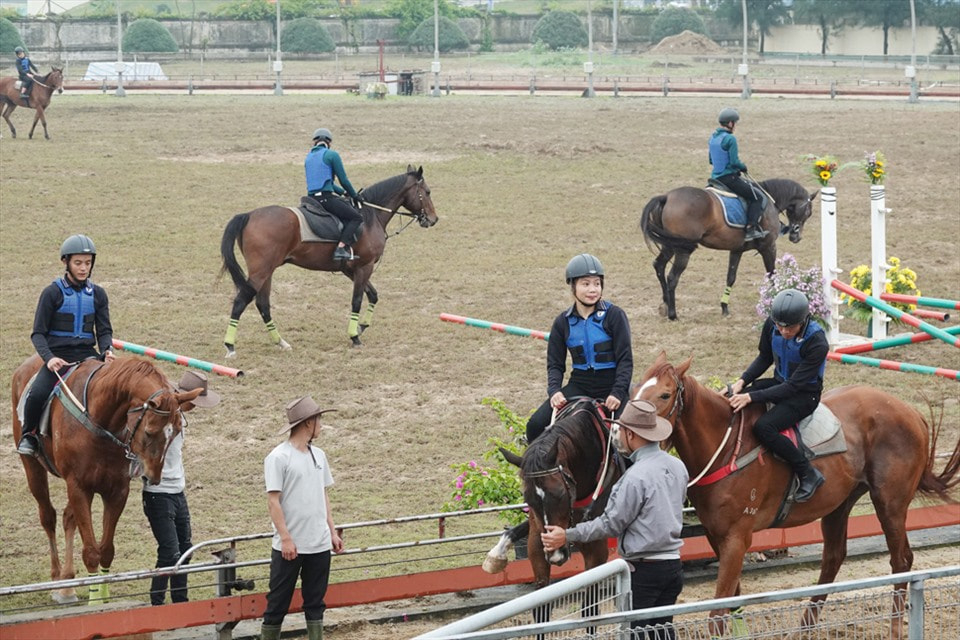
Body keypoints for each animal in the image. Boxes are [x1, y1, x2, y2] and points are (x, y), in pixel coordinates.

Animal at [9, 358, 201, 604]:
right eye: (149, 432)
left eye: (177, 432)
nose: (154, 478)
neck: (102, 423)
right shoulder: (79, 487)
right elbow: (91, 550)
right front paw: (95, 601)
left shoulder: (116, 491)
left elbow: (107, 550)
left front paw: (103, 594)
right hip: (33, 468)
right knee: (48, 517)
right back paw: (57, 580)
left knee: (68, 518)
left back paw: (68, 585)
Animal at [219, 165, 436, 352]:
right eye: (427, 192)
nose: (434, 219)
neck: (370, 216)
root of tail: (249, 214)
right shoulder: (364, 267)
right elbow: (357, 300)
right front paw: (354, 336)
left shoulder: (351, 269)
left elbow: (373, 295)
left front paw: (362, 326)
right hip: (261, 271)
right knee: (241, 301)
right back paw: (230, 345)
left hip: (267, 271)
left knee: (263, 304)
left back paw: (280, 342)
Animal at [632, 352, 956, 636]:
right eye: (637, 389)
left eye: (664, 395)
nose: (628, 433)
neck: (726, 447)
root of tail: (910, 412)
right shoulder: (716, 534)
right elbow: (731, 599)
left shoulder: (737, 538)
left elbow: (718, 612)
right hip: (839, 504)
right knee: (833, 559)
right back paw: (806, 626)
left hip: (890, 503)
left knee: (901, 562)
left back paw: (895, 626)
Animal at [640, 178, 820, 320]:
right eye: (809, 212)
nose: (796, 237)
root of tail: (667, 197)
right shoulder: (768, 247)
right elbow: (772, 275)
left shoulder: (736, 250)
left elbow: (731, 278)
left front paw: (724, 307)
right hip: (682, 250)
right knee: (672, 277)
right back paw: (673, 314)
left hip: (670, 245)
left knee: (659, 266)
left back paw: (664, 304)